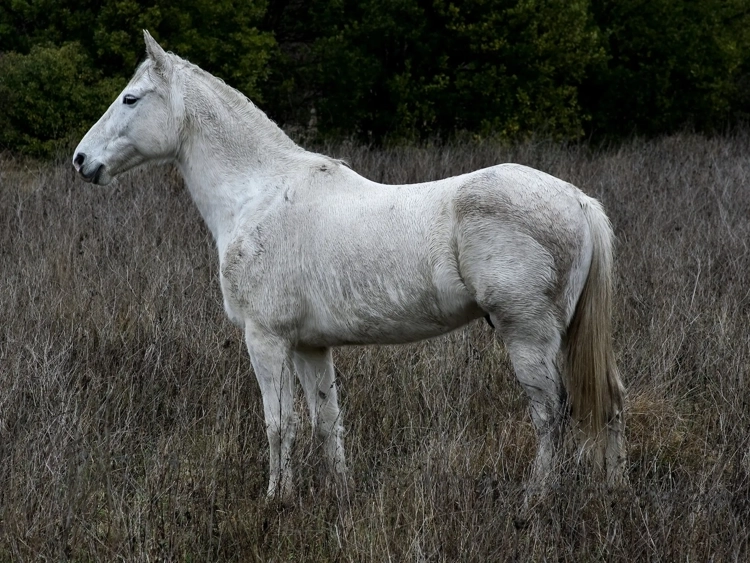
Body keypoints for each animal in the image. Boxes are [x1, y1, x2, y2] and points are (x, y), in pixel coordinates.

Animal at [73, 31, 626, 504]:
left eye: (131, 99)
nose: (81, 160)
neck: (259, 195)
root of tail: (578, 201)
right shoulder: (310, 346)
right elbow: (325, 420)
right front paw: (340, 493)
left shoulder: (266, 339)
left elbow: (280, 424)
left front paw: (276, 500)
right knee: (610, 401)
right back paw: (612, 491)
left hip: (527, 335)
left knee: (550, 414)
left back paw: (535, 497)